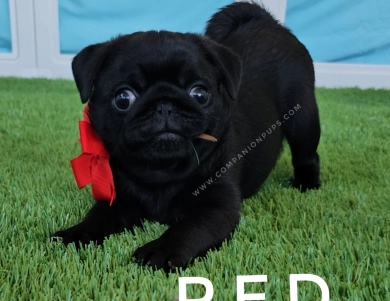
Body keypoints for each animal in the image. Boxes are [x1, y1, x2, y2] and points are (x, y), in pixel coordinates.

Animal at [52, 2, 320, 270]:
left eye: (199, 94)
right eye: (123, 98)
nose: (164, 104)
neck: (162, 172)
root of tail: (265, 22)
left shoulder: (216, 206)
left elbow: (189, 228)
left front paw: (162, 249)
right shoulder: (119, 201)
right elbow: (97, 218)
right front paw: (75, 234)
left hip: (303, 118)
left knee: (307, 154)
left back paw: (307, 184)